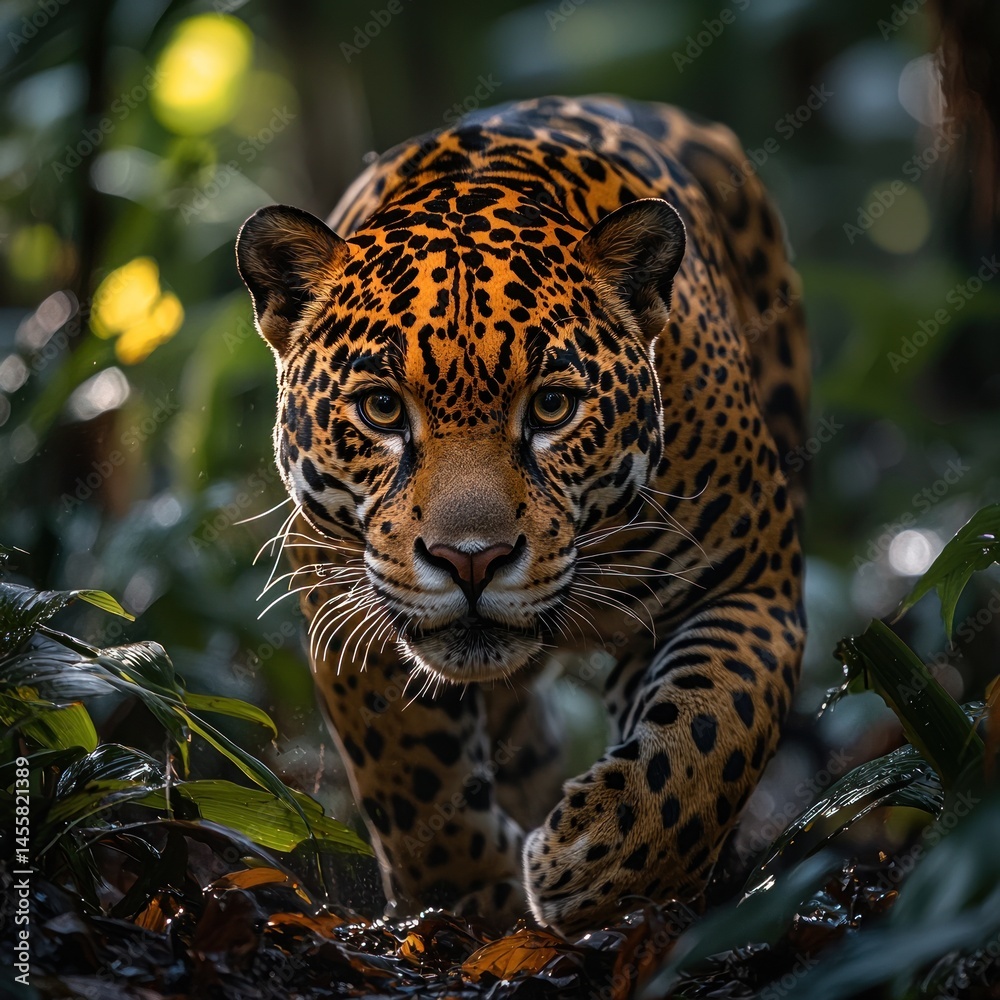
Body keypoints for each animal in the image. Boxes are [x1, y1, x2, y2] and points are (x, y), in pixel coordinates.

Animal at [235, 95, 809, 934]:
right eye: (382, 409)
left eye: (552, 408)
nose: (470, 559)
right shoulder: (345, 607)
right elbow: (410, 768)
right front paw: (466, 894)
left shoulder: (751, 584)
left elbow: (711, 730)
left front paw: (600, 859)